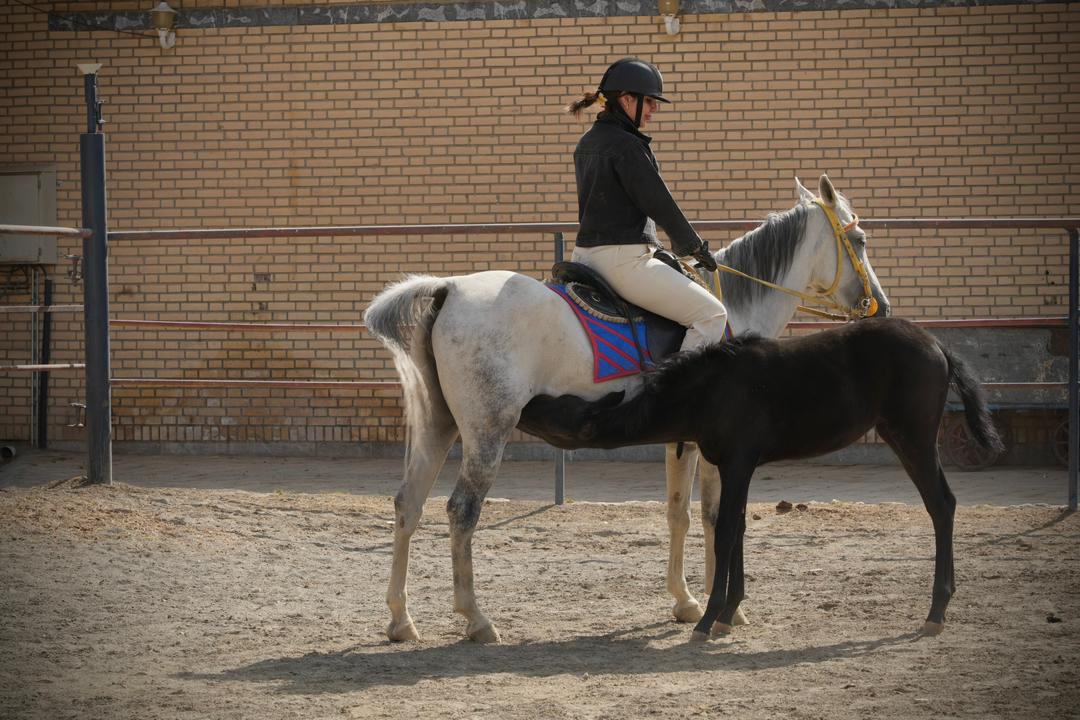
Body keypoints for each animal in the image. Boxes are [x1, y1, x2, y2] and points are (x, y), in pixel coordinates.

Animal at [363, 175, 890, 643]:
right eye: (859, 239)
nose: (880, 306)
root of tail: (449, 289)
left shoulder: (682, 443)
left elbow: (678, 514)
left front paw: (685, 601)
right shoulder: (717, 447)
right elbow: (713, 517)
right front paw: (724, 610)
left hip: (440, 426)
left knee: (408, 504)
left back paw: (400, 620)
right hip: (487, 432)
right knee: (462, 511)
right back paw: (476, 620)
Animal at [520, 318, 1005, 640]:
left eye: (558, 408)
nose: (525, 403)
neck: (709, 390)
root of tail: (938, 345)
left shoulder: (737, 461)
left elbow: (726, 530)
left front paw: (708, 618)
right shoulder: (736, 464)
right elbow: (735, 527)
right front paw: (729, 613)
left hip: (914, 436)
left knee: (940, 504)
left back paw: (936, 610)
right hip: (901, 435)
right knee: (943, 503)